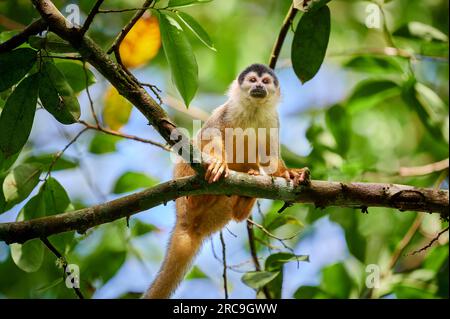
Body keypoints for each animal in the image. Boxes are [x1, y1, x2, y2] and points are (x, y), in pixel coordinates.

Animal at [144, 63, 310, 300]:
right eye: (252, 80)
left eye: (265, 82)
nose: (259, 87)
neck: (253, 109)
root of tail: (188, 222)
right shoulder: (226, 111)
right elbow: (211, 134)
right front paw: (218, 162)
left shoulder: (273, 119)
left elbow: (269, 154)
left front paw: (288, 173)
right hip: (183, 184)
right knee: (196, 144)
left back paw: (244, 197)